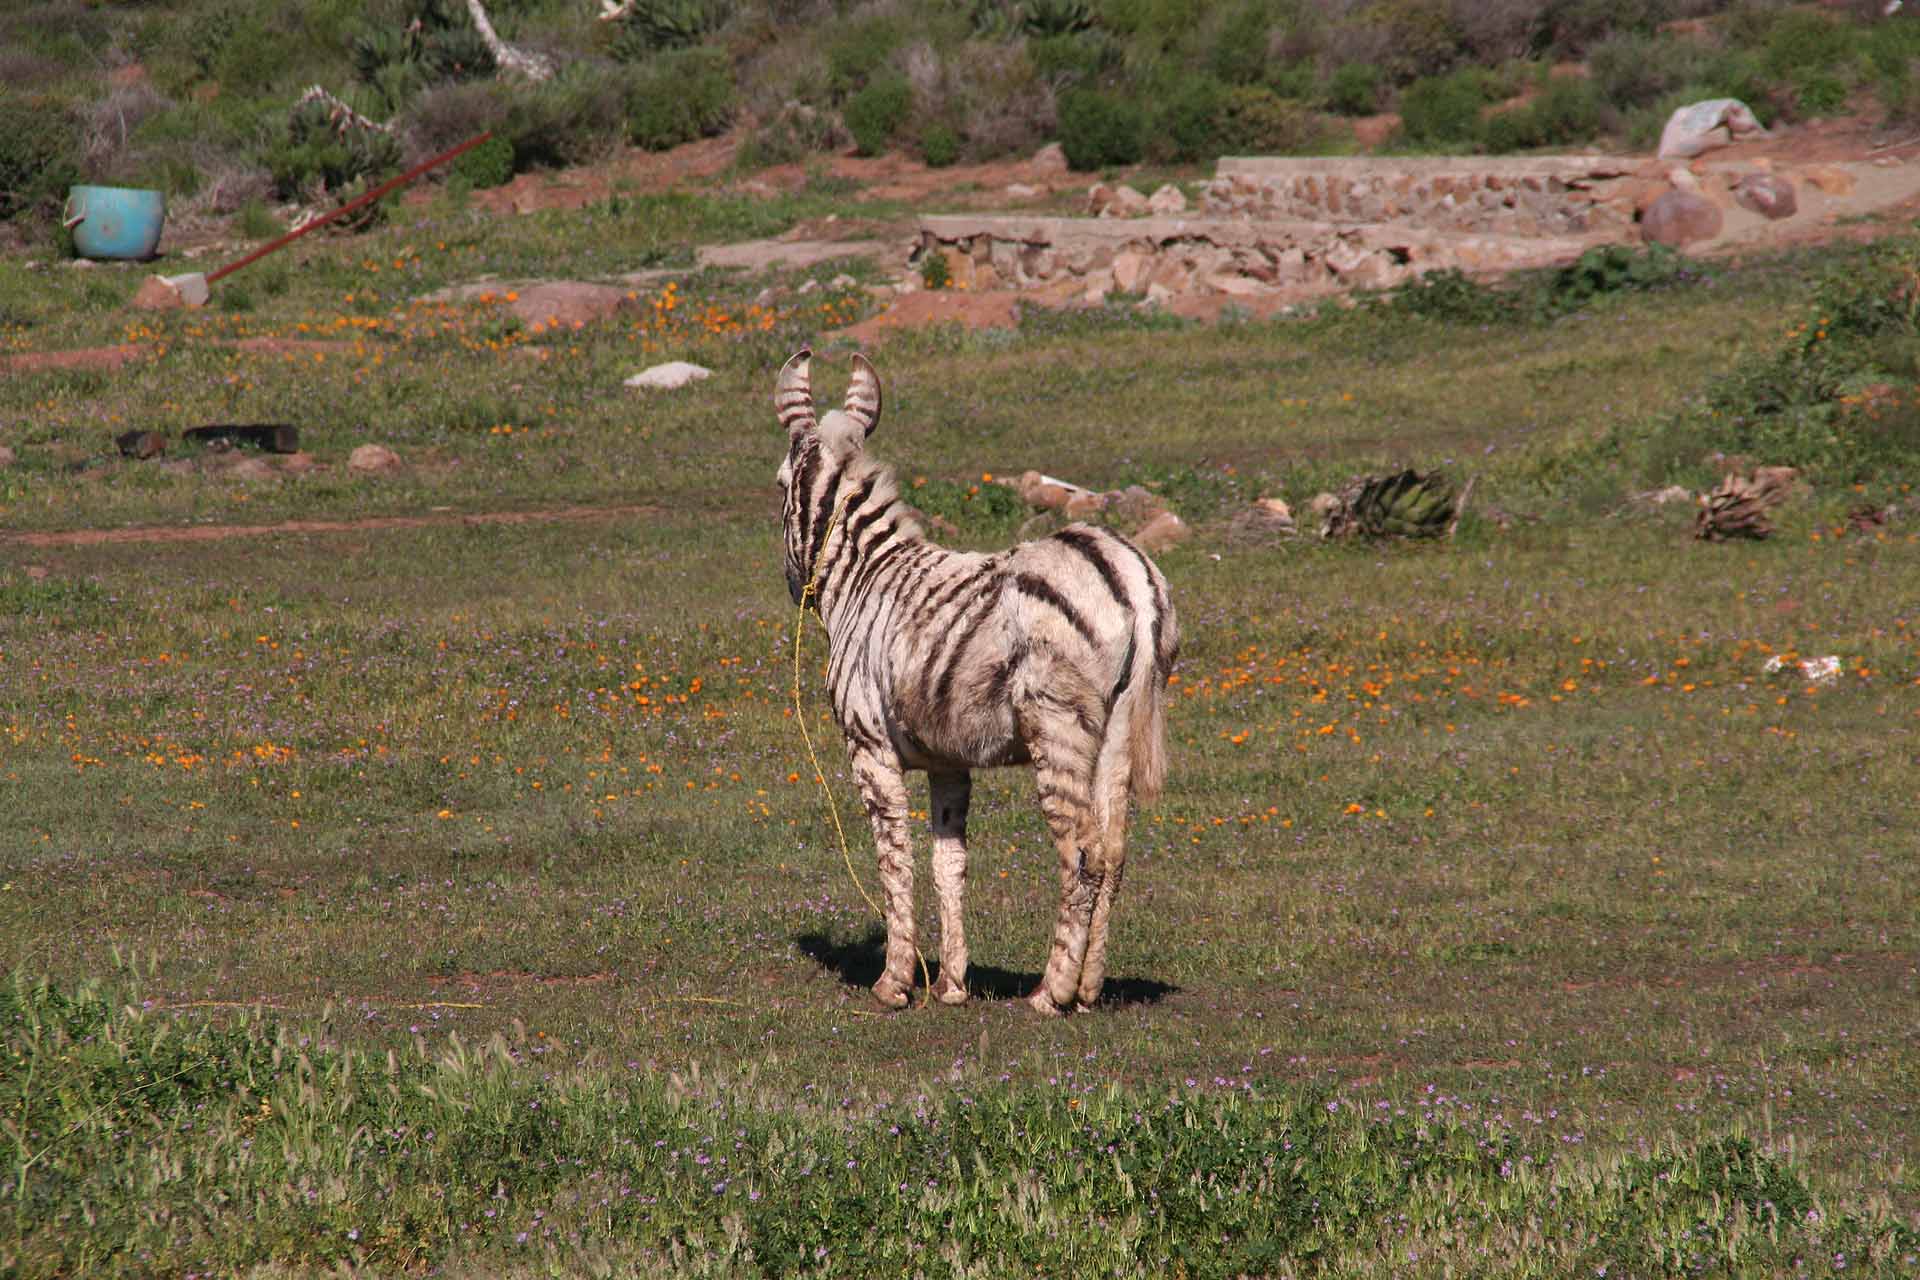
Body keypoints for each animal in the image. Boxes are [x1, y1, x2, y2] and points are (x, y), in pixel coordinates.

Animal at [775, 347, 1178, 1014]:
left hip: (1056, 721)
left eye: (780, 485)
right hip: (1119, 725)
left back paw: (1050, 993)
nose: (796, 590)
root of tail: (1131, 575)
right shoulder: (947, 760)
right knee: (1115, 852)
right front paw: (953, 985)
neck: (864, 577)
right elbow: (949, 864)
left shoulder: (869, 746)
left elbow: (895, 860)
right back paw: (1089, 989)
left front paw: (894, 983)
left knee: (1083, 854)